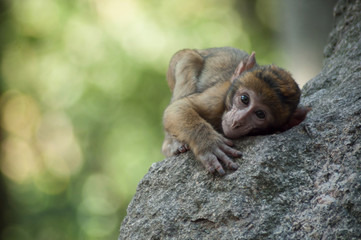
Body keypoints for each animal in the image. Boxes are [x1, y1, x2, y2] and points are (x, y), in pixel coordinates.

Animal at [162, 47, 308, 176]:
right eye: (244, 99)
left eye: (260, 114)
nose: (237, 121)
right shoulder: (217, 98)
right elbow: (179, 107)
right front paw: (209, 143)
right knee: (189, 59)